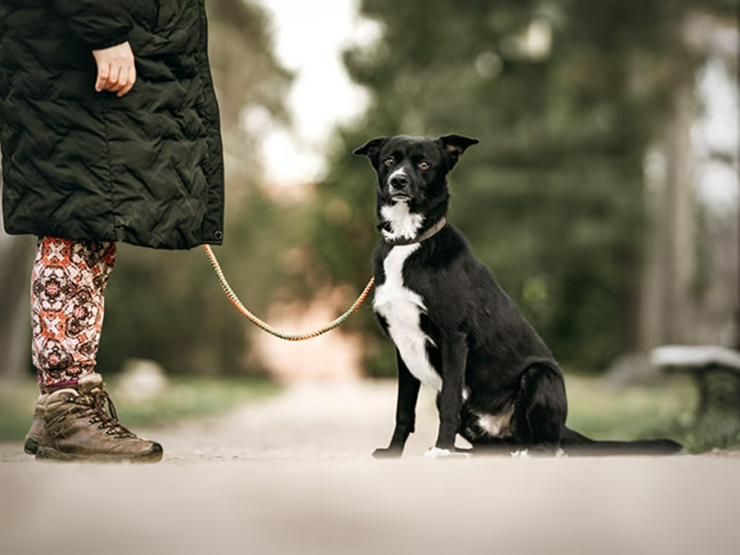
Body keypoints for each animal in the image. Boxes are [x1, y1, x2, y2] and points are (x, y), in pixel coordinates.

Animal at [352, 132, 684, 458]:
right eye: (390, 160)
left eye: (423, 164)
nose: (398, 181)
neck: (408, 241)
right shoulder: (404, 348)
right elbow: (403, 411)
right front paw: (394, 452)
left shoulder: (453, 338)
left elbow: (448, 405)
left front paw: (441, 449)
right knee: (492, 447)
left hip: (540, 376)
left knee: (550, 445)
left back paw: (523, 451)